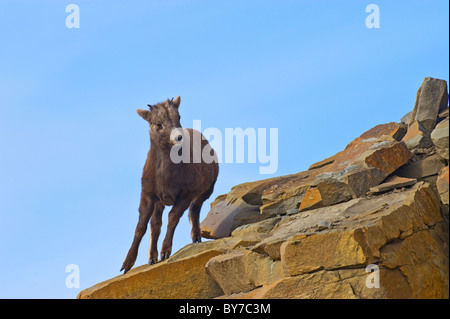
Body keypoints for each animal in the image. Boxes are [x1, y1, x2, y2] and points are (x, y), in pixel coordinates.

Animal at [119, 96, 218, 274]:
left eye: (178, 116)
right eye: (158, 124)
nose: (178, 137)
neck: (165, 178)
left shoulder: (186, 194)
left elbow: (173, 217)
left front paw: (165, 252)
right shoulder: (148, 195)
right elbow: (141, 227)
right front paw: (127, 264)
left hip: (206, 191)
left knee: (194, 210)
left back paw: (196, 238)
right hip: (160, 202)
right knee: (155, 224)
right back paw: (152, 258)